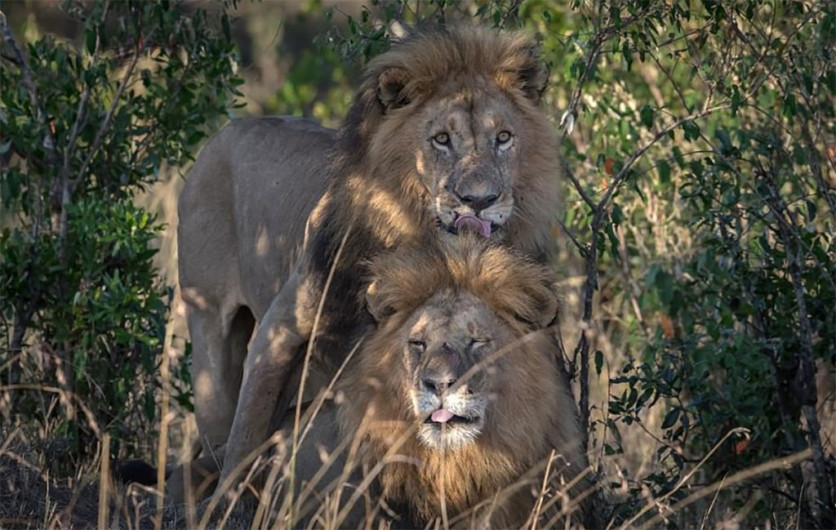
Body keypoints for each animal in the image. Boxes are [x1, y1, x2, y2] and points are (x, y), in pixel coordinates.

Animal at [177, 26, 565, 494]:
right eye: (441, 139)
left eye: (504, 138)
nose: (480, 200)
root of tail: (223, 133)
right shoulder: (278, 333)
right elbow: (245, 438)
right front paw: (228, 500)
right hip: (209, 332)